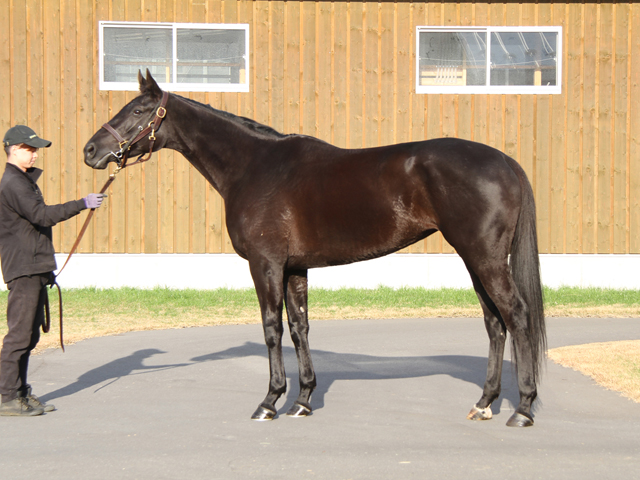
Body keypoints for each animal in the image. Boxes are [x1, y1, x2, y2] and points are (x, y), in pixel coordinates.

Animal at [83, 70, 545, 427]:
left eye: (138, 111)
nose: (91, 150)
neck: (254, 167)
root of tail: (506, 162)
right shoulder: (294, 268)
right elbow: (299, 328)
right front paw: (302, 401)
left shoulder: (266, 265)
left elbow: (272, 328)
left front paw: (270, 402)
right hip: (474, 259)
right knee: (494, 323)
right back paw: (484, 404)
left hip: (484, 258)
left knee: (517, 315)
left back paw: (522, 408)